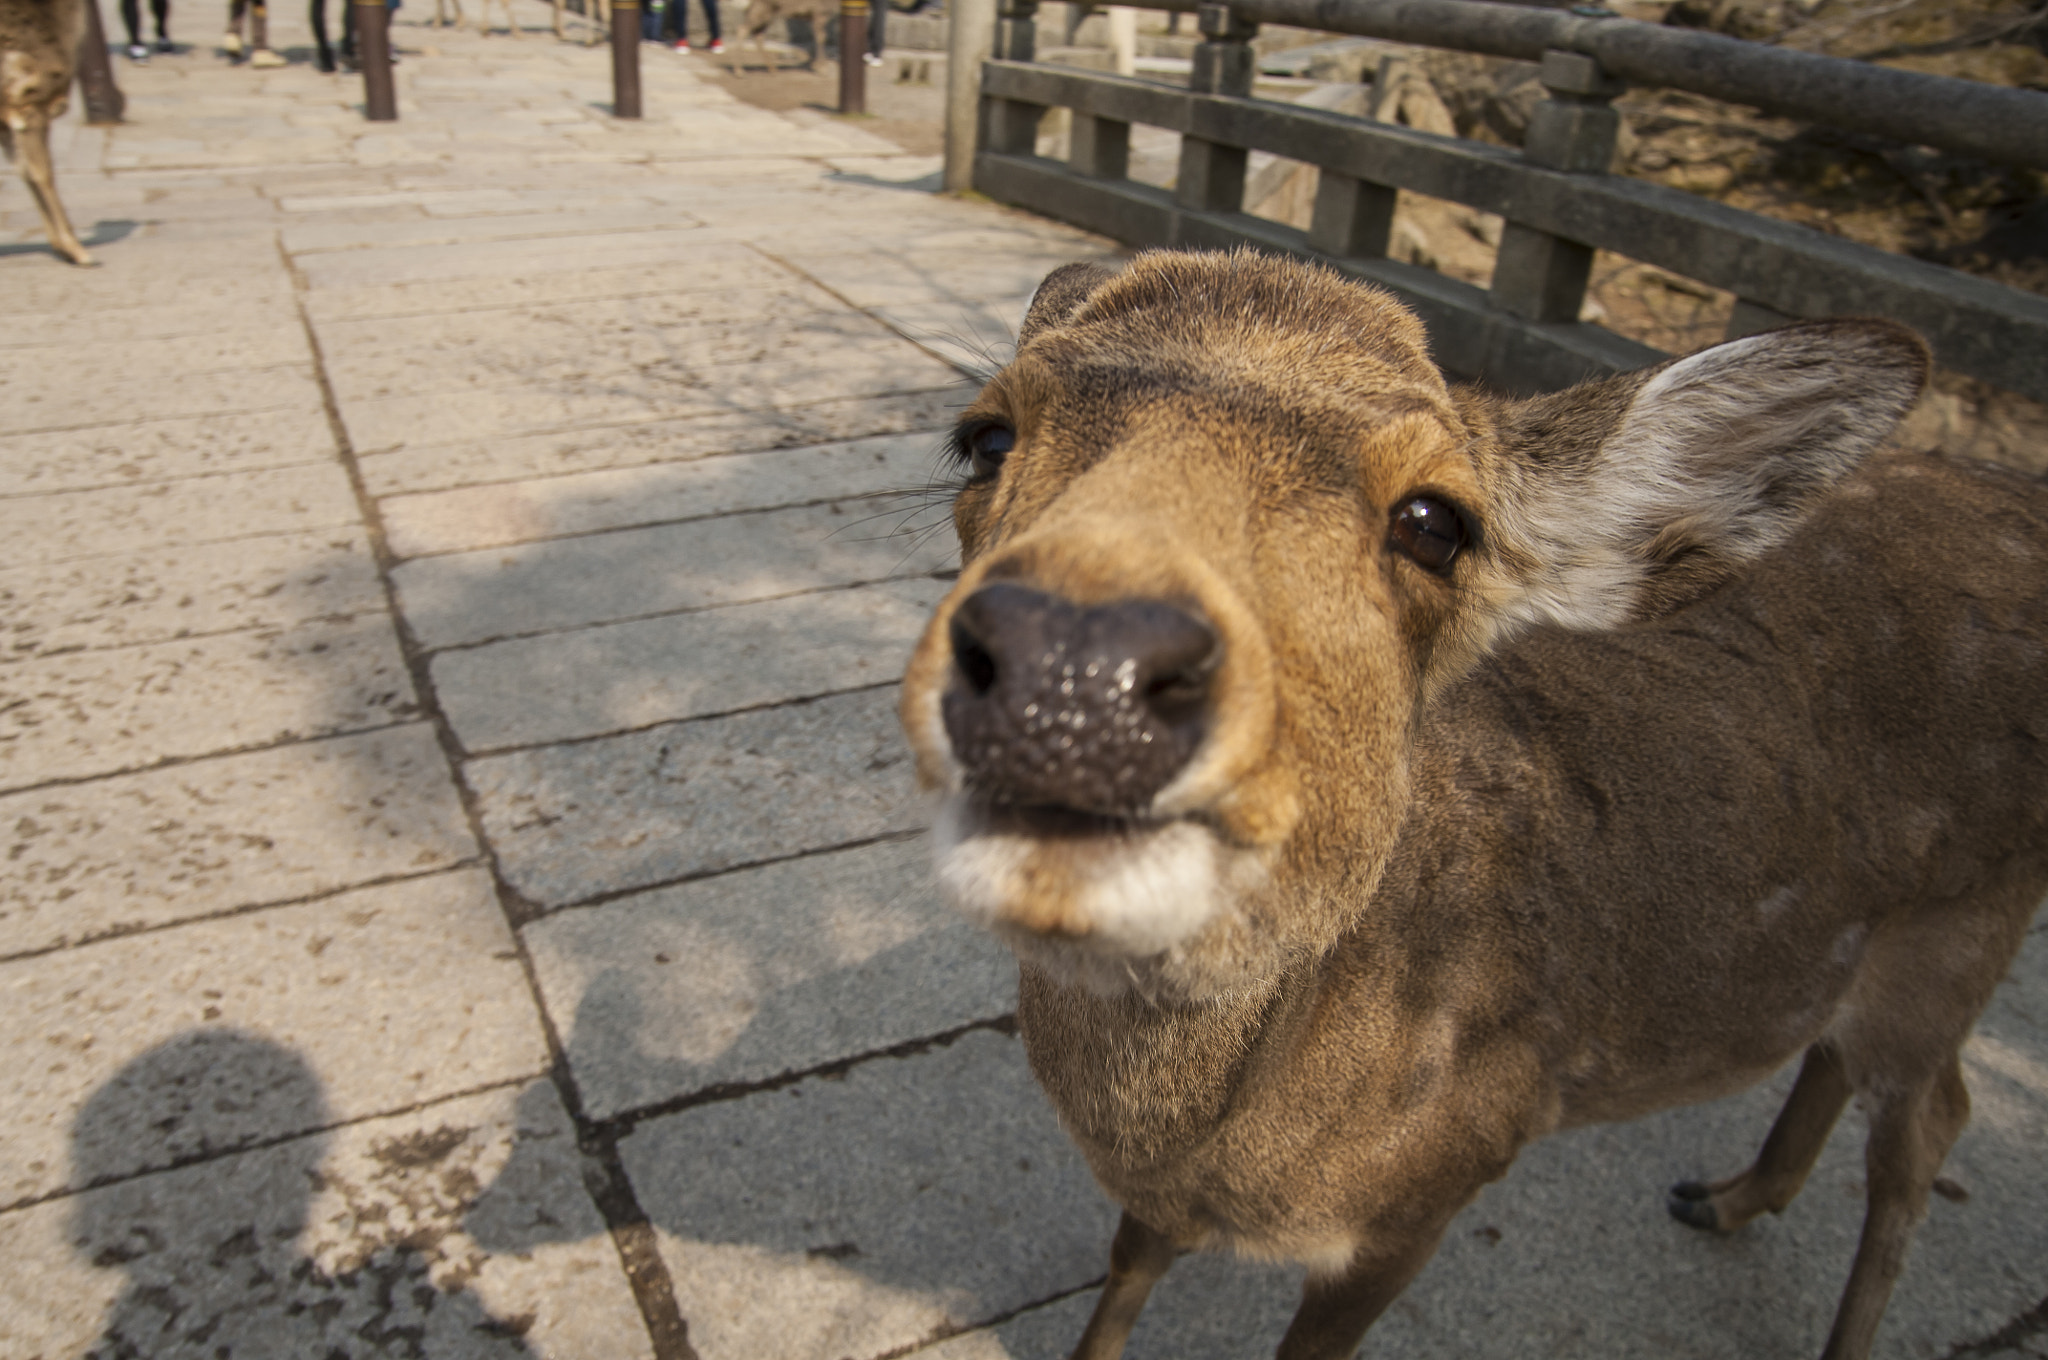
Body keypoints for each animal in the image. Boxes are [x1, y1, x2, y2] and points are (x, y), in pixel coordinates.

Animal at [1, 0, 94, 266]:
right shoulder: (29, 103)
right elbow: (44, 173)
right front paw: (76, 249)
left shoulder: (10, 119)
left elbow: (26, 172)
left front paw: (62, 247)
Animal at [905, 249, 2048, 1351]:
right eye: (986, 437)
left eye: (1434, 521)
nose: (1072, 663)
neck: (1218, 1148)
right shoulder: (1158, 1203)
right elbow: (1124, 1273)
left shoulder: (1444, 1174)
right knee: (1836, 1050)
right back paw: (1724, 1199)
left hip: (1966, 928)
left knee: (1933, 1120)